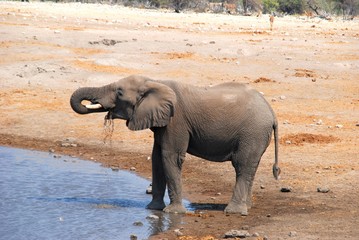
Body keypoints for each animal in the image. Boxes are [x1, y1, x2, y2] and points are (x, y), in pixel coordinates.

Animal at [70, 75, 282, 216]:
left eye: (119, 92)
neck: (153, 82)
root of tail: (272, 113)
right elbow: (157, 158)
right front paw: (152, 209)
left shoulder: (176, 121)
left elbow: (170, 157)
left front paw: (173, 213)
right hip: (256, 135)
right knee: (249, 168)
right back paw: (248, 207)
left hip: (252, 132)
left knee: (242, 165)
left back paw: (234, 211)